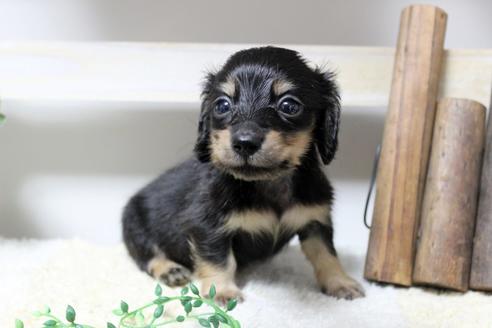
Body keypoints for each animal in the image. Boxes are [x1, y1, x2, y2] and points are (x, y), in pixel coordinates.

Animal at [121, 46, 364, 302]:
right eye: (222, 105)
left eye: (289, 105)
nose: (245, 143)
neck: (267, 182)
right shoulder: (208, 226)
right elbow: (219, 259)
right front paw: (222, 291)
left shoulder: (315, 220)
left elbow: (327, 254)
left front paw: (340, 282)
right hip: (134, 225)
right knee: (148, 256)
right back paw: (170, 269)